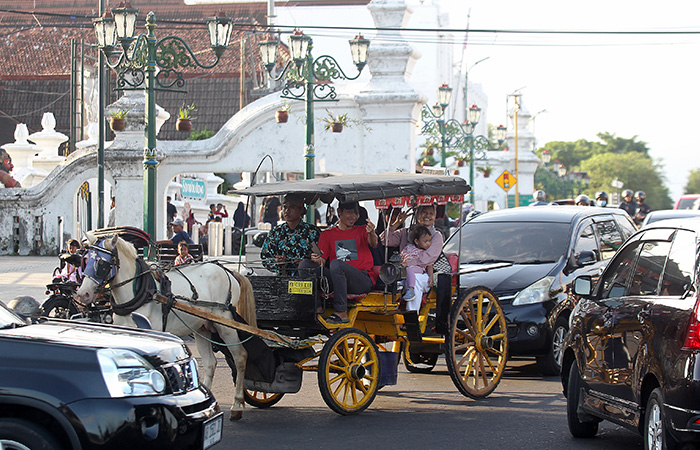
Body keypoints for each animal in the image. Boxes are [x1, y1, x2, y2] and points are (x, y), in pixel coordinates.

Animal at [76, 234, 258, 420]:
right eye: (85, 260)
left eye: (102, 264)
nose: (83, 294)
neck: (141, 292)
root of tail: (229, 271)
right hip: (201, 327)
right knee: (210, 362)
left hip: (225, 324)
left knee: (240, 357)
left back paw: (237, 405)